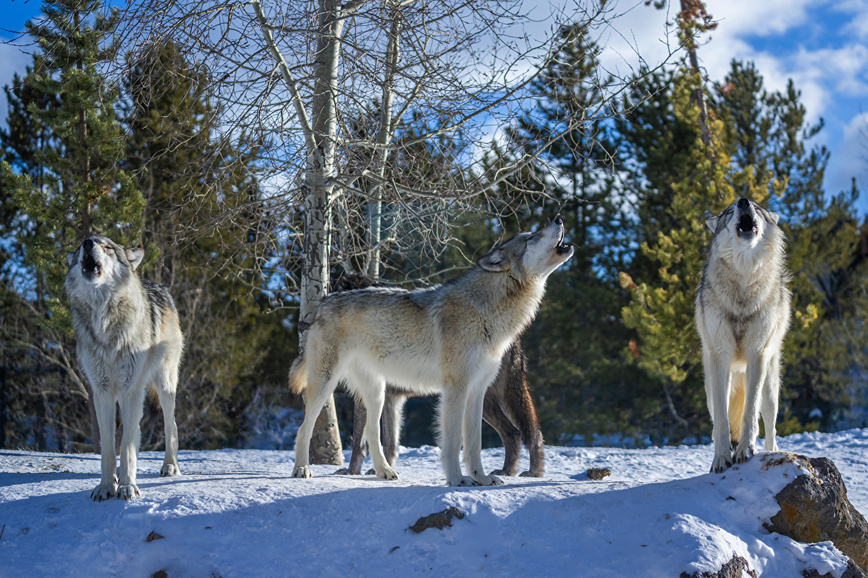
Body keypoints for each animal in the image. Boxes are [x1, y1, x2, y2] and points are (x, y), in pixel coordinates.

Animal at [66, 236, 185, 498]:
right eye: (80, 247)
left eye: (107, 246)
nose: (88, 242)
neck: (105, 320)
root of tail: (160, 287)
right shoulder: (102, 391)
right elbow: (110, 447)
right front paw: (105, 486)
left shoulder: (131, 389)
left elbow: (128, 447)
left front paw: (127, 487)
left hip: (164, 383)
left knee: (171, 425)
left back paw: (170, 466)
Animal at [288, 218, 572, 484]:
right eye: (531, 237)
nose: (558, 219)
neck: (487, 313)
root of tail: (322, 305)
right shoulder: (456, 389)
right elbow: (454, 440)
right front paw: (458, 479)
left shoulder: (477, 391)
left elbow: (474, 443)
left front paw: (480, 478)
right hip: (326, 384)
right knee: (304, 427)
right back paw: (302, 469)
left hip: (378, 393)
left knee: (371, 433)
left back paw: (384, 471)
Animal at [696, 198, 792, 472]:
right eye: (729, 212)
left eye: (757, 207)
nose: (743, 201)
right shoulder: (720, 358)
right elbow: (722, 420)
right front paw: (721, 458)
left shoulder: (757, 354)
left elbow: (750, 413)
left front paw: (745, 450)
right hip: (710, 387)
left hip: (771, 387)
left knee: (770, 427)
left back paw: (771, 453)